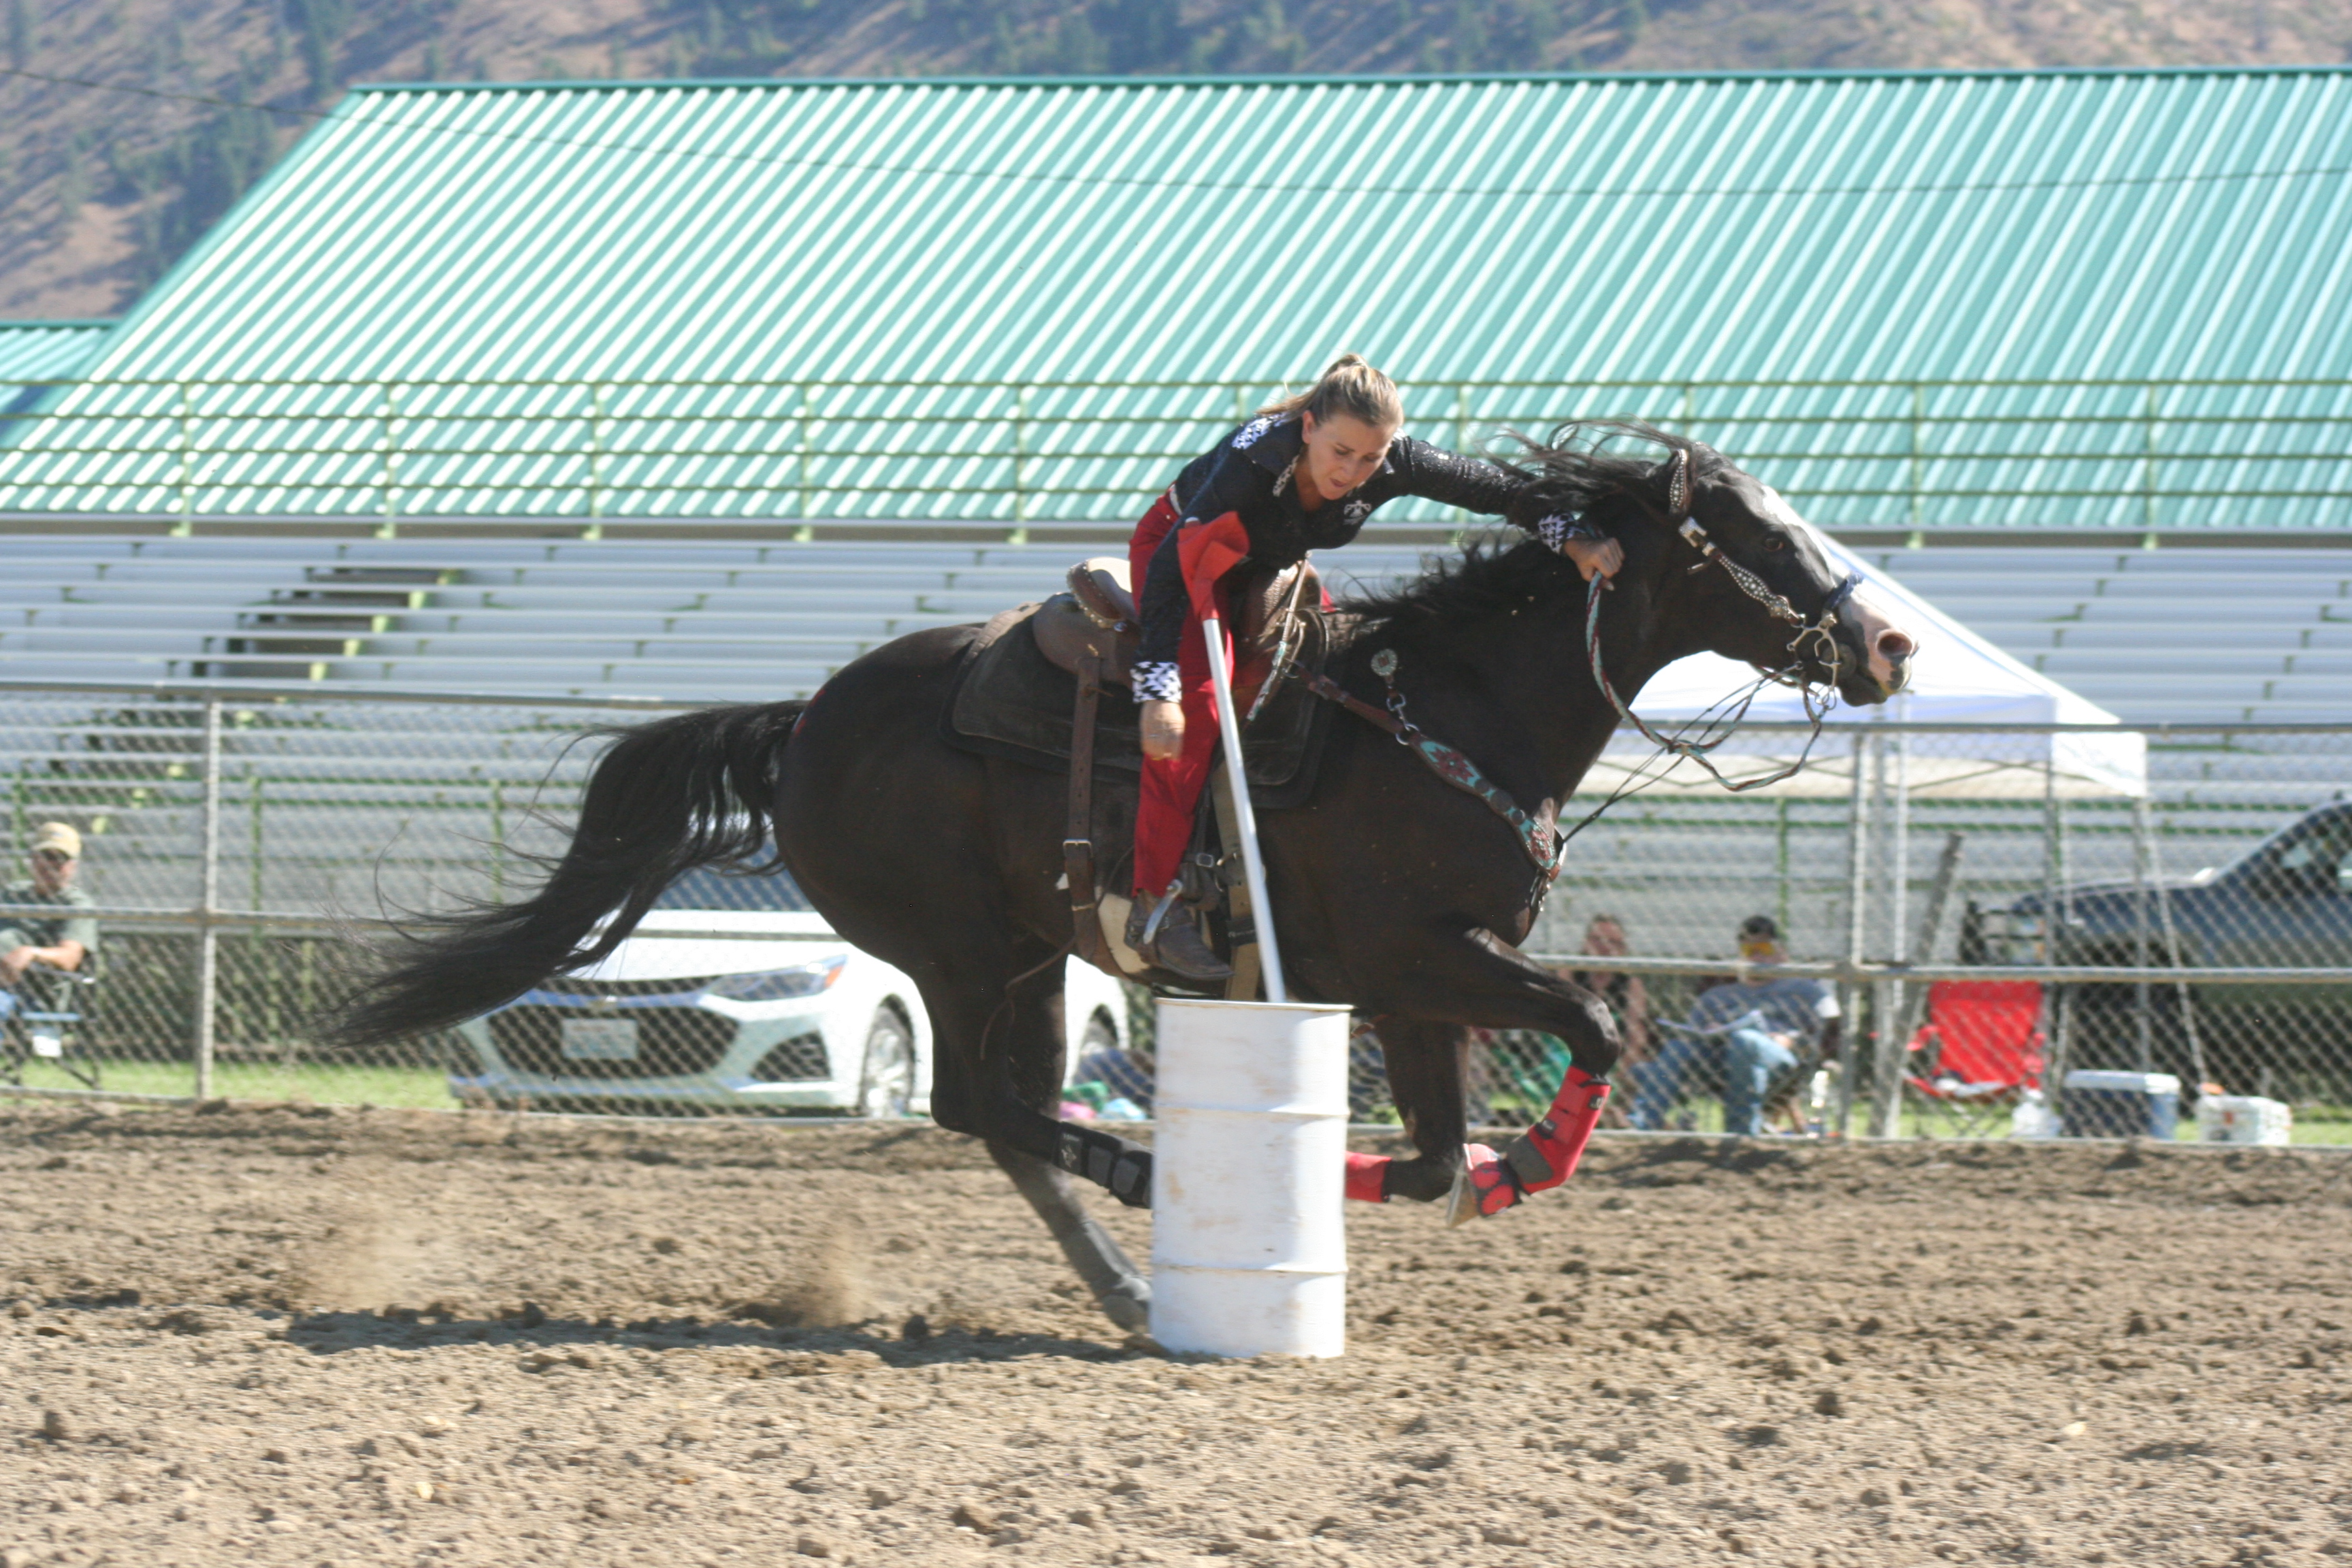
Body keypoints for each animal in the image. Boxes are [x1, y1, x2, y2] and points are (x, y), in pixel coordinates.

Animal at [336, 430, 1910, 1335]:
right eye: (1757, 537)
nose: (1888, 646)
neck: (1449, 712)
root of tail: (804, 718)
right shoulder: (1426, 957)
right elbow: (1579, 1029)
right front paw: (1520, 1167)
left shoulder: (1412, 993)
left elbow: (1428, 1154)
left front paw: (1430, 1180)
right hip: (962, 953)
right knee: (980, 1106)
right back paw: (1144, 1187)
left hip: (1031, 961)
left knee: (1009, 1124)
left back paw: (1133, 1275)